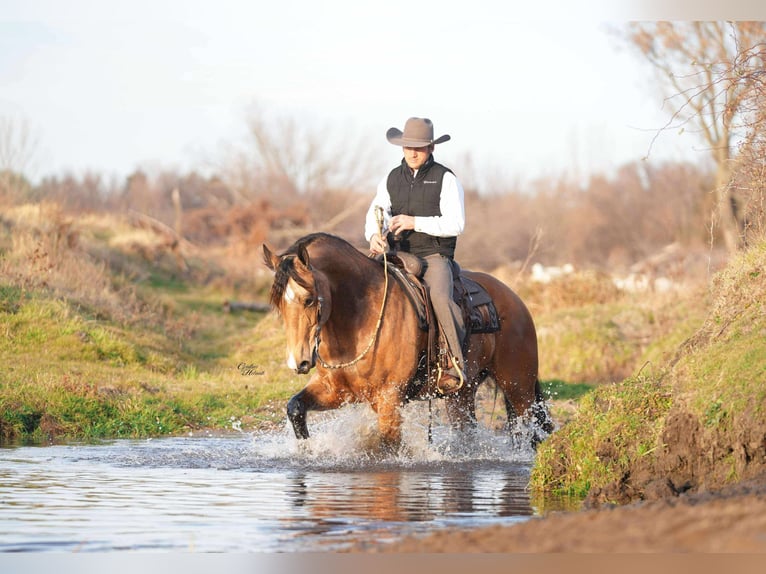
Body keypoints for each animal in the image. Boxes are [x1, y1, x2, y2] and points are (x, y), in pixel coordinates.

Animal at [263, 232, 552, 451]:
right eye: (279, 304)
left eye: (309, 299)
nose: (298, 362)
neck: (358, 319)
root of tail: (515, 300)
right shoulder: (336, 391)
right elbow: (295, 407)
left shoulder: (389, 399)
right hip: (461, 394)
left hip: (519, 388)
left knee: (530, 428)